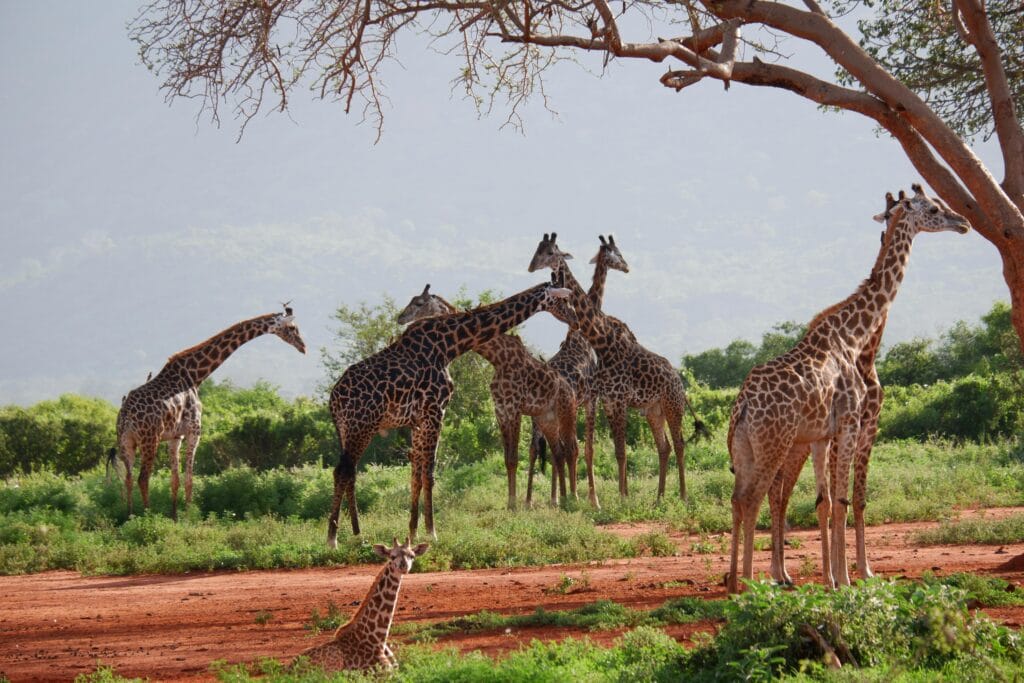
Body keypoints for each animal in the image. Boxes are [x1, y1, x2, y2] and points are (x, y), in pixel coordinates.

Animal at [112, 307, 306, 519]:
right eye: (292, 327)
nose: (303, 347)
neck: (195, 375)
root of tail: (126, 415)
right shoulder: (195, 431)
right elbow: (189, 479)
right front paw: (189, 517)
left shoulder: (176, 436)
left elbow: (175, 480)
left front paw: (175, 517)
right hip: (150, 439)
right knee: (143, 478)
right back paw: (148, 516)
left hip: (126, 441)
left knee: (128, 478)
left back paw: (129, 516)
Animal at [395, 285, 580, 508]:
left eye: (419, 303)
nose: (401, 318)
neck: (498, 358)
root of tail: (570, 390)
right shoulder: (500, 409)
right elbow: (508, 459)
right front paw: (511, 504)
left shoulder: (514, 408)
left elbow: (514, 457)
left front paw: (514, 505)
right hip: (546, 418)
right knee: (558, 452)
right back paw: (561, 500)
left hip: (567, 412)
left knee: (572, 449)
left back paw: (576, 498)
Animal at [529, 233, 697, 505]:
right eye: (539, 251)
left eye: (550, 251)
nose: (627, 266)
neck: (601, 342)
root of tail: (679, 381)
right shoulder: (607, 400)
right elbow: (613, 450)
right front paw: (616, 497)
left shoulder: (611, 400)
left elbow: (611, 450)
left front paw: (615, 497)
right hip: (653, 410)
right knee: (665, 447)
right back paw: (658, 497)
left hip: (671, 406)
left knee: (678, 444)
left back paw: (680, 496)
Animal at [727, 185, 970, 593]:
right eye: (934, 209)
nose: (964, 222)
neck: (855, 337)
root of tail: (743, 405)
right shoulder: (852, 422)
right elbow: (843, 499)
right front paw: (846, 578)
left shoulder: (825, 433)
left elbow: (827, 500)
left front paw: (836, 579)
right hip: (775, 441)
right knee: (755, 498)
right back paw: (750, 583)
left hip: (745, 447)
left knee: (737, 498)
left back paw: (734, 581)